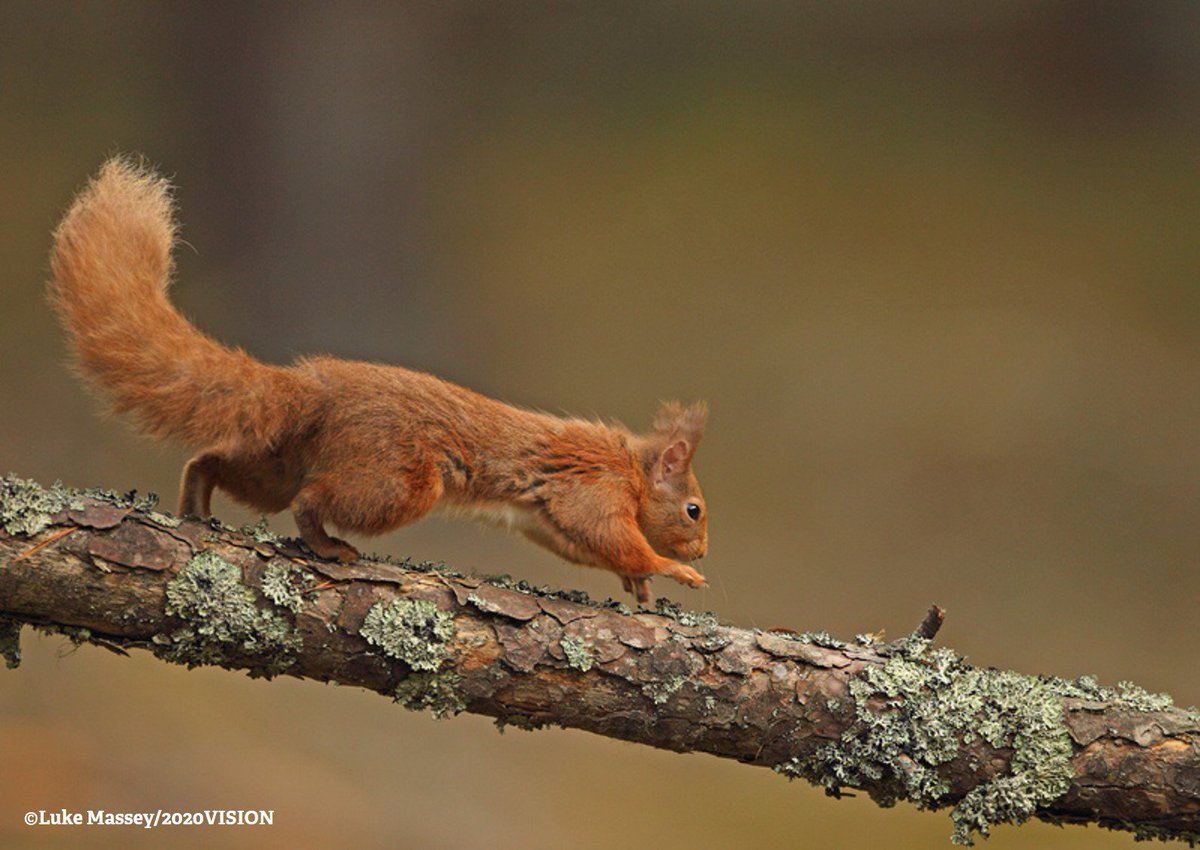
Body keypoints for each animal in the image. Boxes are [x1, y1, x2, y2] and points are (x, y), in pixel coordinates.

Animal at [48, 157, 708, 602]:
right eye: (695, 510)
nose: (703, 549)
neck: (632, 467)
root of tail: (314, 388)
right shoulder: (592, 488)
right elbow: (606, 533)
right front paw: (673, 569)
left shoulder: (542, 516)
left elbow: (580, 545)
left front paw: (638, 581)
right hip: (396, 481)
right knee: (310, 503)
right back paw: (326, 545)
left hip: (278, 463)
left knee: (214, 462)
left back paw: (194, 507)